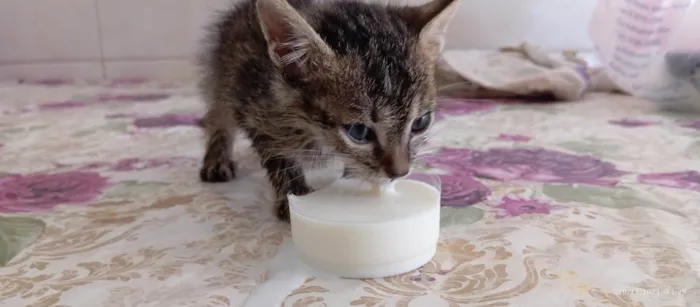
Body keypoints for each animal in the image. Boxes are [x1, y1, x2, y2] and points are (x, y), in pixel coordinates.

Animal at [197, 0, 460, 223]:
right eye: (358, 132)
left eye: (421, 123)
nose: (400, 172)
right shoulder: (252, 108)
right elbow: (278, 157)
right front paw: (294, 195)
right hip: (225, 75)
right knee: (217, 115)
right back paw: (216, 158)